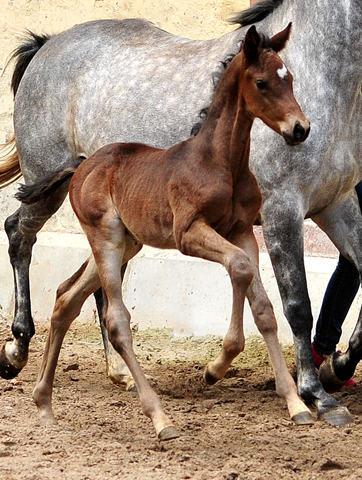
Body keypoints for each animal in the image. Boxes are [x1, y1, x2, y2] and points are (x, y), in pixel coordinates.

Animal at [0, 0, 360, 424]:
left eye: (293, 81)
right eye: (264, 84)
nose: (300, 129)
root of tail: (46, 44)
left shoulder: (336, 205)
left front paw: (336, 368)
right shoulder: (283, 210)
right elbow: (298, 305)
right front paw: (316, 394)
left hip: (117, 230)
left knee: (99, 284)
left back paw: (119, 371)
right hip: (46, 188)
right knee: (18, 234)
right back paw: (17, 348)